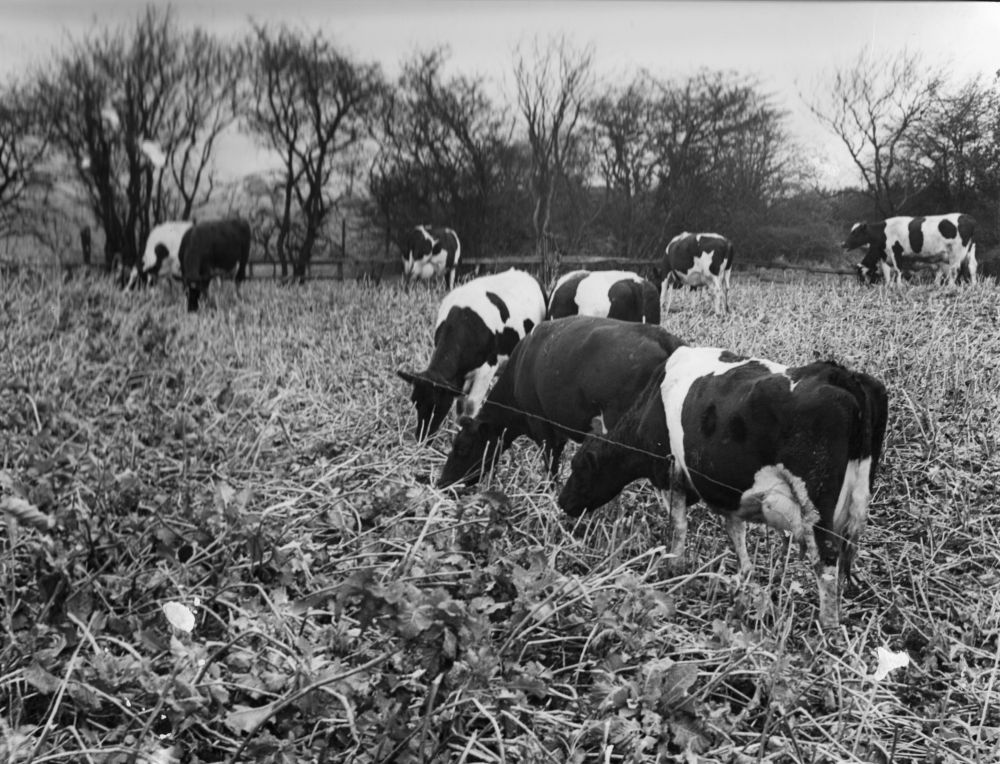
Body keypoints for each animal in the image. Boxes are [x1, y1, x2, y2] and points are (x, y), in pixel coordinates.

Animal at [396, 268, 544, 442]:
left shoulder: (487, 369)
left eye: (438, 406)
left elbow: (471, 405)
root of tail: (524, 273)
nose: (422, 437)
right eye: (415, 402)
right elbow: (459, 407)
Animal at [560, 346, 888, 628]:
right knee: (843, 554)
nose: (563, 502)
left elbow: (678, 526)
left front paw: (673, 568)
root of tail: (839, 374)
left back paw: (828, 625)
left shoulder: (672, 474)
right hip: (857, 501)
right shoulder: (729, 492)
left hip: (815, 501)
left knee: (827, 557)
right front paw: (744, 579)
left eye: (578, 467)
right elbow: (736, 533)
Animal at [844, 212, 976, 286]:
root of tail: (968, 218)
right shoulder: (885, 258)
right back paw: (973, 285)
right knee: (972, 266)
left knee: (954, 270)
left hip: (956, 252)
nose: (843, 244)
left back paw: (951, 287)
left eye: (855, 233)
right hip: (970, 250)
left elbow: (898, 271)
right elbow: (888, 275)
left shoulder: (896, 252)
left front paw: (899, 287)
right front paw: (889, 287)